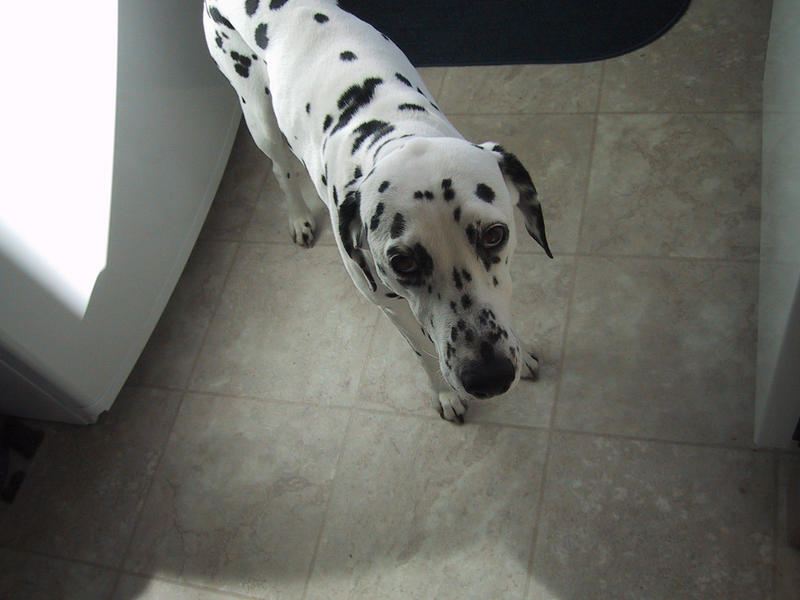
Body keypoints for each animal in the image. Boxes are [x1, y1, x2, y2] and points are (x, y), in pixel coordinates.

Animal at [203, 0, 553, 422]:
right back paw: (299, 217)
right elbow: (422, 352)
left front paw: (523, 352)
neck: (392, 132)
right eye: (402, 262)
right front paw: (445, 395)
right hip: (258, 115)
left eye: (494, 235)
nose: (489, 376)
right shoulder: (393, 309)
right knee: (280, 168)